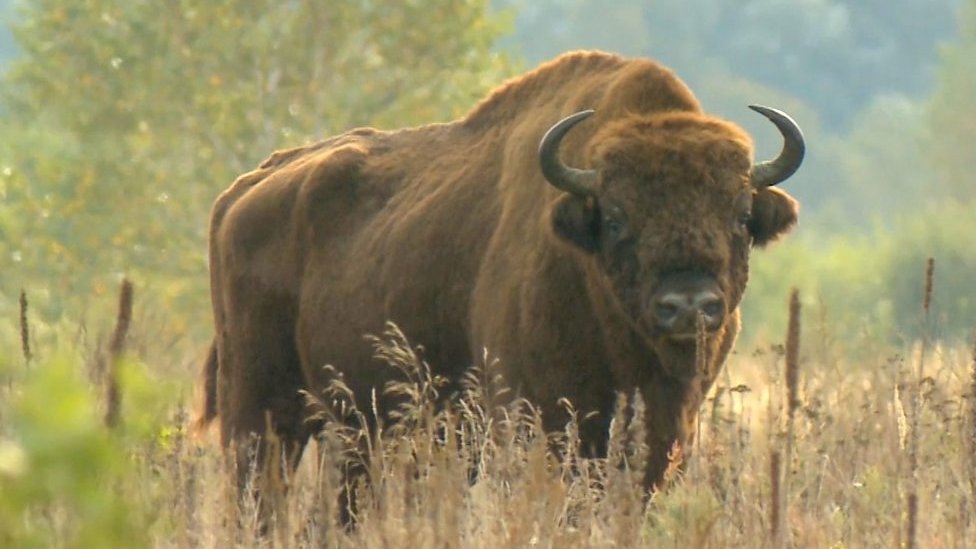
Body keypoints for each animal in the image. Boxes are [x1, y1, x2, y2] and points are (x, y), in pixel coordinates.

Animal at [196, 50, 800, 512]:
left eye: (741, 215)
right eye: (615, 219)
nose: (689, 305)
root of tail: (243, 191)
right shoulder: (537, 422)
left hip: (351, 431)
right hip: (260, 414)